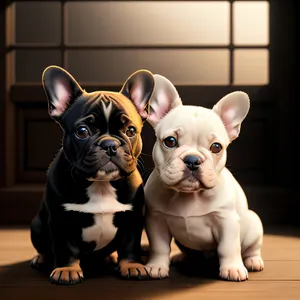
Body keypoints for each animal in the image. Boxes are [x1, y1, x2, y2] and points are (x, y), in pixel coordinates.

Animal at [30, 64, 155, 284]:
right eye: (82, 131)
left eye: (131, 130)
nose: (110, 144)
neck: (101, 184)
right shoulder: (60, 221)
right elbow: (65, 249)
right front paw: (66, 270)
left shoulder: (132, 218)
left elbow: (130, 245)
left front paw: (132, 266)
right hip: (37, 226)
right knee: (44, 247)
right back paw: (41, 258)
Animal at [144, 74, 264, 282]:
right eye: (170, 141)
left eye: (216, 147)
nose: (192, 160)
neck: (190, 195)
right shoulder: (156, 220)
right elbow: (159, 247)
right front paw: (157, 266)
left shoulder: (227, 221)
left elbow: (228, 248)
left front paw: (232, 268)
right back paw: (181, 257)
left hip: (254, 224)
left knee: (251, 248)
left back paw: (253, 261)